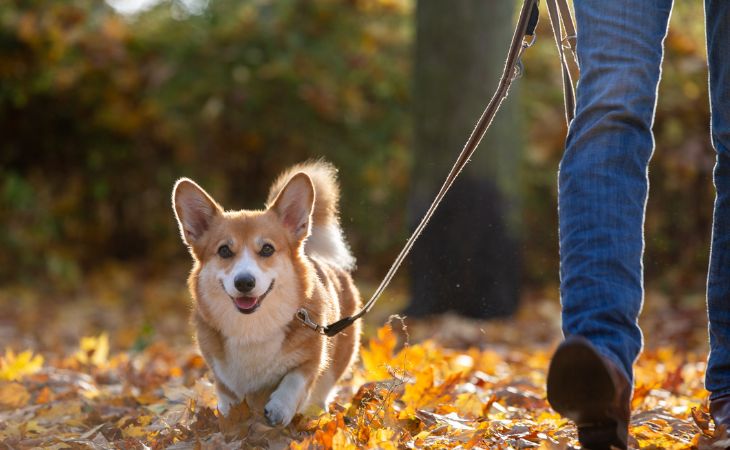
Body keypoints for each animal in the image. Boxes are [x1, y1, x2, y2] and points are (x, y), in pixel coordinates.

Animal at [173, 162, 362, 426]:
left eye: (267, 249)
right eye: (224, 251)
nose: (244, 282)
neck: (252, 327)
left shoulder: (311, 358)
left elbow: (293, 381)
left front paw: (279, 408)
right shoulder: (221, 374)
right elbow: (228, 397)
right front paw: (231, 420)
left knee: (321, 392)